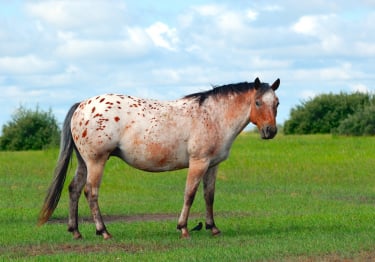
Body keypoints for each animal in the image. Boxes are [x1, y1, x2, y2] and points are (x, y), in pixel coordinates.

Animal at [38, 76, 280, 239]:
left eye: (276, 103)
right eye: (258, 102)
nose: (270, 131)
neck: (212, 115)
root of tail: (81, 105)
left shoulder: (212, 165)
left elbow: (209, 195)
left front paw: (213, 227)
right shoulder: (198, 162)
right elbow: (190, 194)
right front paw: (183, 228)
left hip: (84, 162)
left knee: (74, 189)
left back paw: (76, 231)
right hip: (96, 161)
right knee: (91, 192)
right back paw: (103, 231)